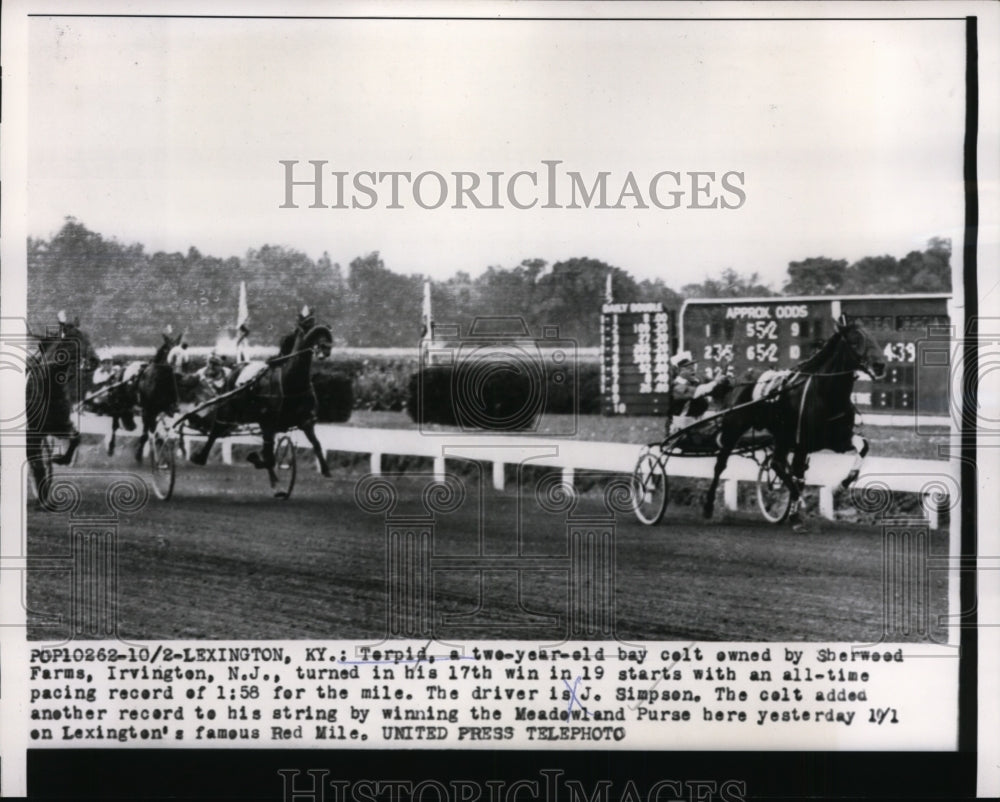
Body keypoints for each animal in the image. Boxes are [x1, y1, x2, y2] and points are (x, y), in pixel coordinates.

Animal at [24, 318, 97, 506]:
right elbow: (36, 462)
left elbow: (76, 438)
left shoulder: (59, 425)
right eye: (74, 338)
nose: (95, 360)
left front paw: (61, 459)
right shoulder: (32, 432)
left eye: (87, 336)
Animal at [189, 320, 338, 488]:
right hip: (227, 410)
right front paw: (256, 459)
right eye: (308, 329)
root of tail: (236, 367)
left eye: (325, 331)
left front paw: (326, 470)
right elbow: (268, 456)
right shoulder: (267, 422)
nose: (326, 347)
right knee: (216, 430)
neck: (290, 383)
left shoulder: (305, 421)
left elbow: (316, 444)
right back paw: (200, 457)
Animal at [700, 316, 888, 528]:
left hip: (782, 436)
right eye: (854, 341)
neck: (826, 394)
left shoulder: (836, 439)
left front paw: (841, 485)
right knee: (726, 464)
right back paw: (708, 507)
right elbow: (795, 475)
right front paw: (797, 509)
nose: (880, 365)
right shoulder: (802, 442)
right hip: (736, 428)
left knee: (779, 464)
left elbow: (863, 446)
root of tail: (738, 380)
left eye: (873, 338)